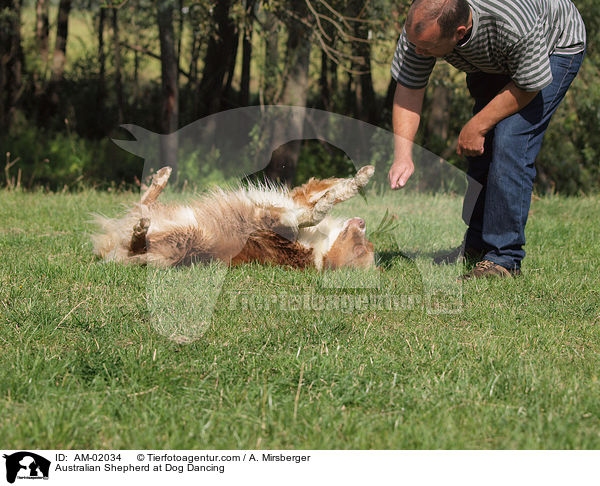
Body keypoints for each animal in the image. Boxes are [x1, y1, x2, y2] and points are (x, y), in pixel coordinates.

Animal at [92, 165, 376, 272]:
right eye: (365, 247)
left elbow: (306, 215)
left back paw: (140, 231)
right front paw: (361, 177)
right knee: (143, 203)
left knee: (138, 241)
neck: (319, 246)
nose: (363, 223)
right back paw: (161, 178)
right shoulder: (297, 198)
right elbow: (332, 191)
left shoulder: (272, 227)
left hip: (188, 241)